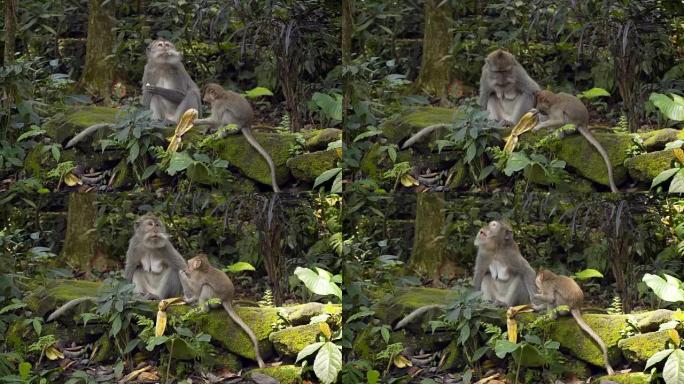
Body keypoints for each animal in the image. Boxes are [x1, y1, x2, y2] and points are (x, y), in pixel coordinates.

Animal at [47, 213, 187, 320]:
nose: (156, 230)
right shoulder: (134, 245)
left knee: (174, 270)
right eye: (150, 224)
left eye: (158, 225)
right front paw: (124, 297)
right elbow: (130, 268)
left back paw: (158, 297)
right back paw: (138, 297)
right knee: (137, 270)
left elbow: (182, 266)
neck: (149, 245)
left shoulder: (165, 246)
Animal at [65, 38, 202, 148]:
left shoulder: (177, 69)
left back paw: (177, 123)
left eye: (167, 45)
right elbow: (147, 99)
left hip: (179, 116)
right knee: (155, 98)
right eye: (160, 45)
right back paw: (157, 121)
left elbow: (181, 94)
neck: (162, 65)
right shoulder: (149, 70)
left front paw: (157, 89)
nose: (165, 48)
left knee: (191, 95)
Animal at [400, 48, 540, 150]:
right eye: (498, 72)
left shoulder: (518, 73)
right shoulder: (485, 74)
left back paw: (513, 124)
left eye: (505, 71)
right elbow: (484, 96)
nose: (502, 79)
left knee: (527, 94)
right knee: (491, 96)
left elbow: (533, 90)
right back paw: (495, 122)